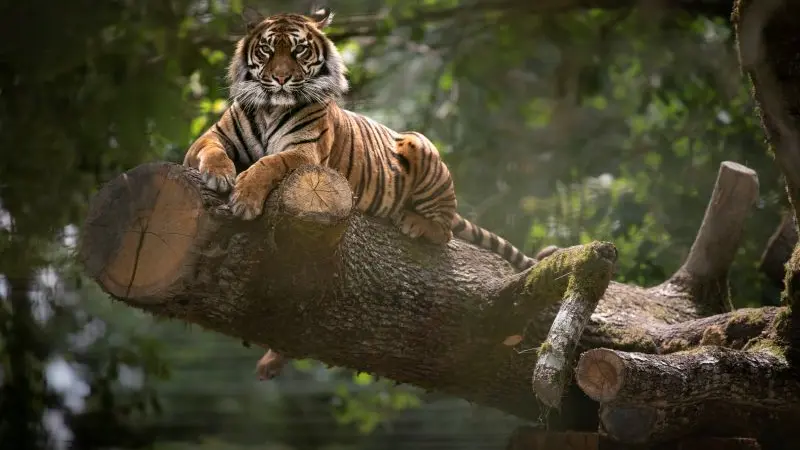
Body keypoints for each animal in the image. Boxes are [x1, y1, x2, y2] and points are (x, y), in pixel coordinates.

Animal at [182, 7, 559, 380]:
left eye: (299, 50)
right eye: (267, 50)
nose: (281, 79)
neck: (270, 108)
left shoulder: (304, 153)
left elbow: (269, 163)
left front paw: (245, 198)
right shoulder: (210, 137)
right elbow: (212, 152)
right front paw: (219, 176)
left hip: (418, 144)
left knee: (445, 229)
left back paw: (413, 222)